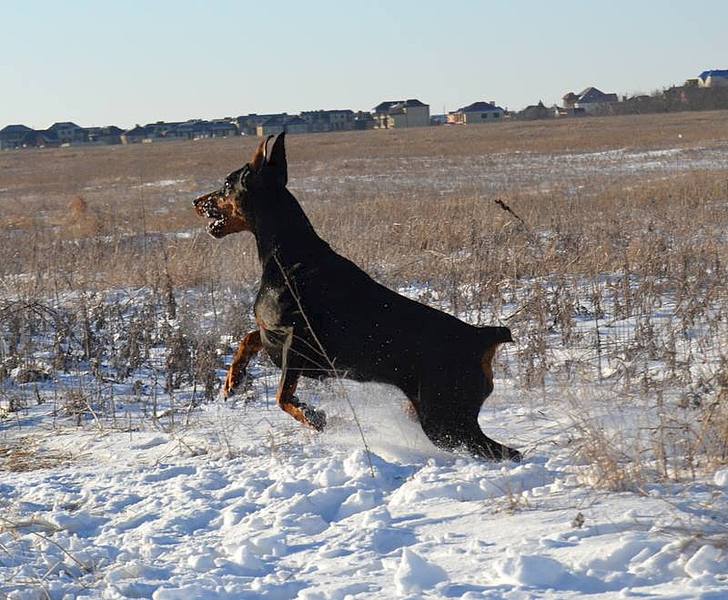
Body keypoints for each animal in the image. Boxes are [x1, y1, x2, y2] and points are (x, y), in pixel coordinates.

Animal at [193, 132, 520, 460]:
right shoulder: (277, 336)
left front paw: (317, 418)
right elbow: (248, 339)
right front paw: (232, 381)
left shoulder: (298, 344)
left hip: (445, 418)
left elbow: (282, 397)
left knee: (504, 451)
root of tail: (483, 338)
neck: (286, 255)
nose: (196, 202)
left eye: (226, 184)